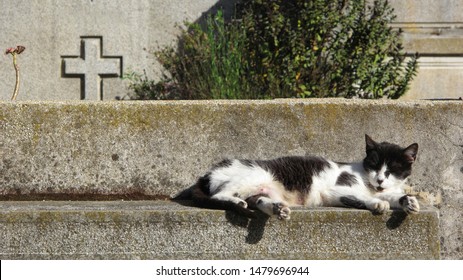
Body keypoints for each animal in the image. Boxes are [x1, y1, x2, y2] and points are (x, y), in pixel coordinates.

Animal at [174, 135, 420, 220]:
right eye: (375, 164)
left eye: (393, 169)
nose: (380, 179)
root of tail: (207, 174)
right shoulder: (335, 191)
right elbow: (361, 197)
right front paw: (377, 204)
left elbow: (395, 196)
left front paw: (408, 202)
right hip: (253, 176)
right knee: (220, 195)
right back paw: (237, 202)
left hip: (263, 189)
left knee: (258, 200)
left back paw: (277, 209)